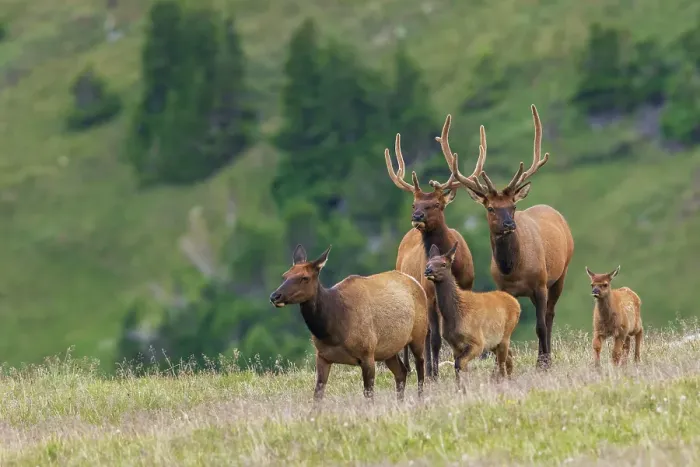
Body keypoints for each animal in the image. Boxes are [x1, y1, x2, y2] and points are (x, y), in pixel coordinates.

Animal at [269, 244, 428, 402]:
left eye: (304, 277)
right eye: (284, 275)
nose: (275, 296)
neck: (333, 332)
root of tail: (415, 282)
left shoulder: (367, 353)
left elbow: (369, 395)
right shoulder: (322, 356)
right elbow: (317, 395)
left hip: (419, 335)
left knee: (420, 367)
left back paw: (421, 400)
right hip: (389, 349)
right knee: (401, 372)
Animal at [384, 114, 483, 380]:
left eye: (437, 204)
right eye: (414, 204)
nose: (417, 216)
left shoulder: (467, 286)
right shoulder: (429, 295)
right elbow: (436, 338)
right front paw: (434, 373)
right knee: (424, 334)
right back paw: (419, 368)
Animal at [424, 242, 521, 389]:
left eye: (443, 264)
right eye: (428, 263)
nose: (428, 271)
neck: (456, 315)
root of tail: (516, 304)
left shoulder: (477, 341)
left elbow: (459, 364)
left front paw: (465, 388)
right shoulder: (455, 345)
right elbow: (459, 367)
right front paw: (460, 389)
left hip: (506, 333)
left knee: (502, 362)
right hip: (493, 341)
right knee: (508, 357)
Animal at [443, 105, 574, 370]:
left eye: (513, 206)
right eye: (491, 208)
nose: (509, 224)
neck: (513, 269)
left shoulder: (540, 284)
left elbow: (540, 326)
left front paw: (543, 363)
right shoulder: (504, 288)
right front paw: (501, 364)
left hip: (561, 273)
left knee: (549, 316)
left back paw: (546, 356)